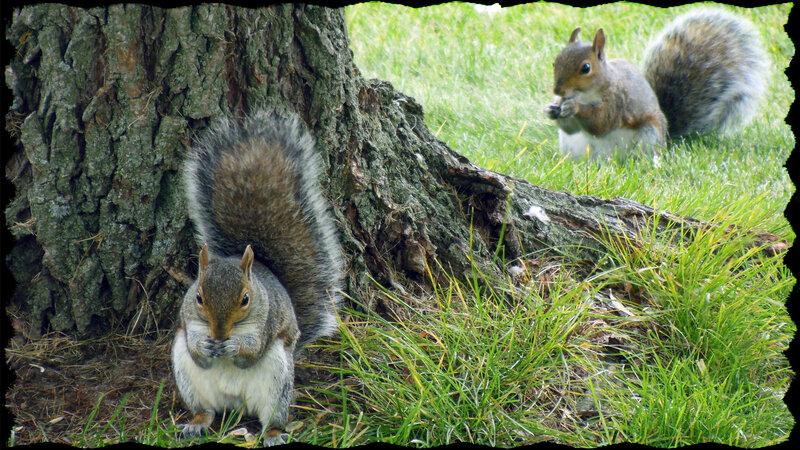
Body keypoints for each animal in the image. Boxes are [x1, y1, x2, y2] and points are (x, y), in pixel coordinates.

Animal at [171, 111, 344, 443]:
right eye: (198, 296)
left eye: (246, 299)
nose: (219, 334)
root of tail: (234, 403)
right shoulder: (188, 319)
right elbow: (196, 349)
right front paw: (207, 347)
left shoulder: (266, 323)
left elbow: (251, 351)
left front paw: (233, 348)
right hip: (187, 376)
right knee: (206, 410)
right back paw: (196, 422)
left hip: (277, 380)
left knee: (272, 416)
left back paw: (274, 433)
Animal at [543, 8, 768, 159]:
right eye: (555, 61)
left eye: (586, 68)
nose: (557, 90)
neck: (585, 93)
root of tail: (666, 140)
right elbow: (571, 128)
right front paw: (550, 108)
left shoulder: (618, 99)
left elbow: (602, 122)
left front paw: (574, 107)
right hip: (572, 145)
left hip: (648, 135)